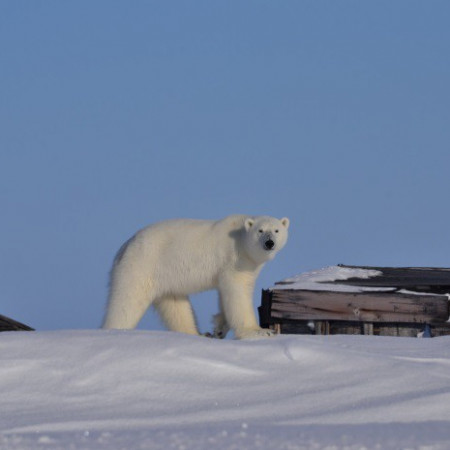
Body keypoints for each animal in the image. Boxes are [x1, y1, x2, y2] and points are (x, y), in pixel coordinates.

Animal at [102, 214, 290, 338]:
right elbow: (237, 292)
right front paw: (259, 331)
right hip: (140, 267)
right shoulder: (234, 260)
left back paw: (197, 333)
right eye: (260, 230)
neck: (241, 240)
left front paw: (219, 329)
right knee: (126, 303)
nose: (269, 243)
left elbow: (225, 294)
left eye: (276, 230)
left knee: (176, 307)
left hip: (166, 279)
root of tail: (124, 247)